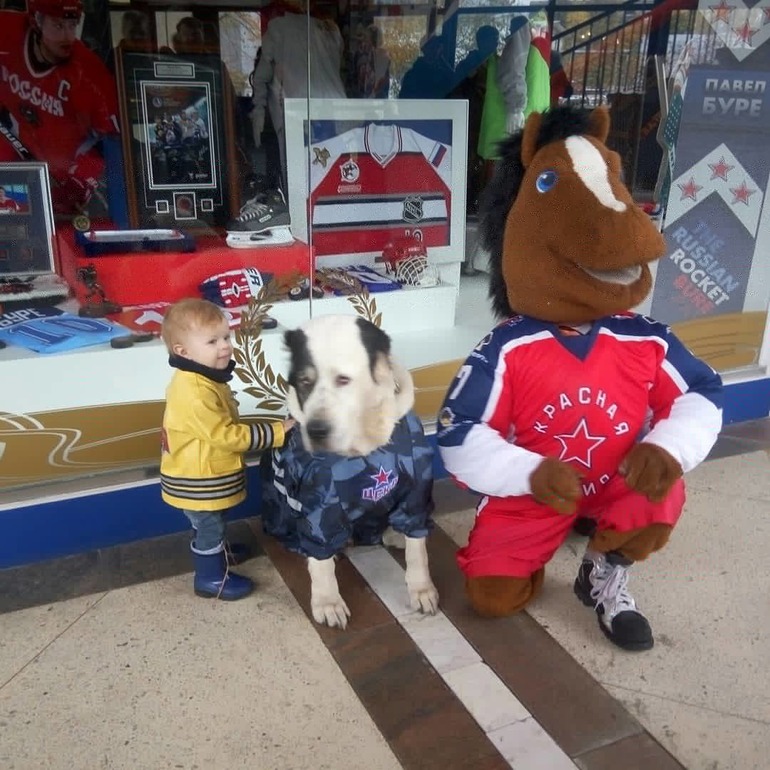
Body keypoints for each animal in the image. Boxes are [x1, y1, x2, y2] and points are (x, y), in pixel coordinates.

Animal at [260, 314, 439, 629]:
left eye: (343, 380)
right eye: (304, 382)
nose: (316, 430)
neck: (362, 448)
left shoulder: (416, 487)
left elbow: (418, 549)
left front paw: (421, 588)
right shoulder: (319, 505)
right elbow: (320, 560)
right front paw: (327, 601)